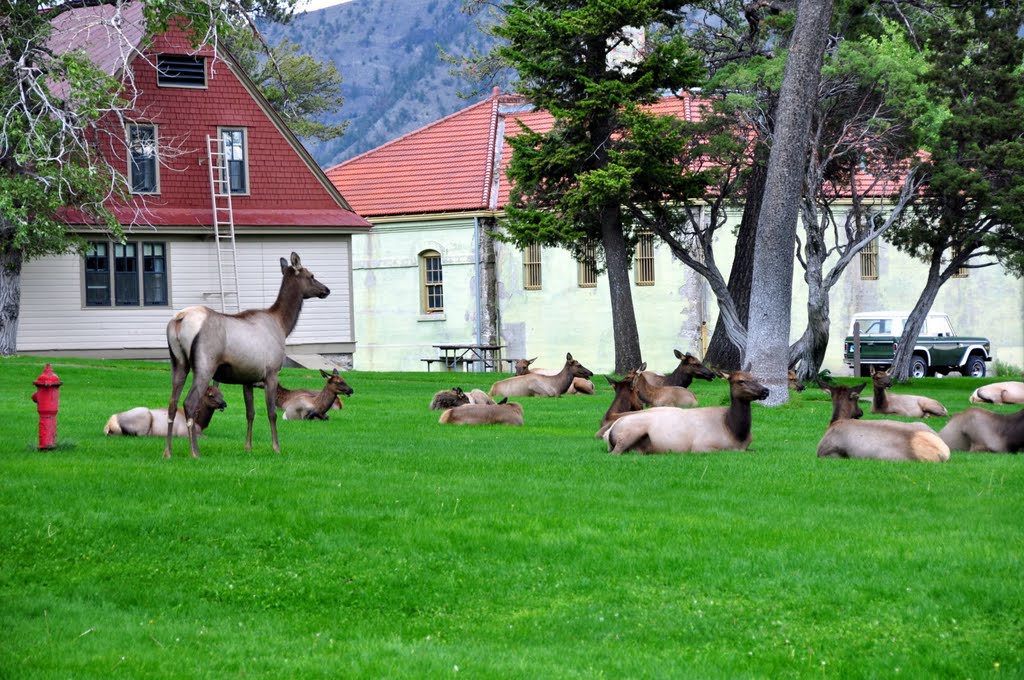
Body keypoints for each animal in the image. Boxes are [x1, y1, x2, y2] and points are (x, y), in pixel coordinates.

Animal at [164, 251, 327, 458]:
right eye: (311, 275)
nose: (326, 290)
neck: (283, 325)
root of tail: (179, 320)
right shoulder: (271, 372)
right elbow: (271, 412)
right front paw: (276, 447)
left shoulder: (247, 378)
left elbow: (250, 413)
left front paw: (248, 446)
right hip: (205, 364)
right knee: (190, 403)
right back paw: (195, 452)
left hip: (178, 362)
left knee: (172, 403)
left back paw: (168, 452)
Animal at [598, 368, 770, 454]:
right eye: (741, 381)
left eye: (755, 378)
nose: (765, 390)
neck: (735, 431)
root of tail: (609, 432)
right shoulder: (701, 447)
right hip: (630, 431)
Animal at [815, 383, 950, 462]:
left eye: (857, 398)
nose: (860, 412)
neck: (835, 422)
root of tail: (943, 453)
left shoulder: (827, 453)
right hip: (922, 425)